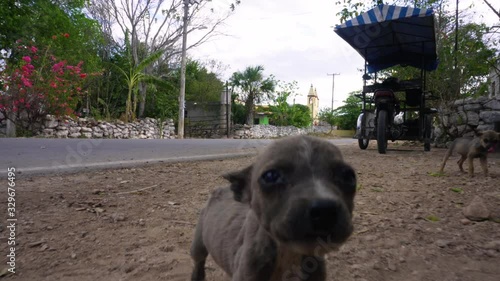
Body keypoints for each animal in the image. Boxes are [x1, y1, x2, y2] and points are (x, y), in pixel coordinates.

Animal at [189, 135, 358, 278]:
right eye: (270, 176)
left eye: (348, 176)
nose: (325, 210)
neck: (289, 254)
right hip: (198, 246)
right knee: (198, 262)